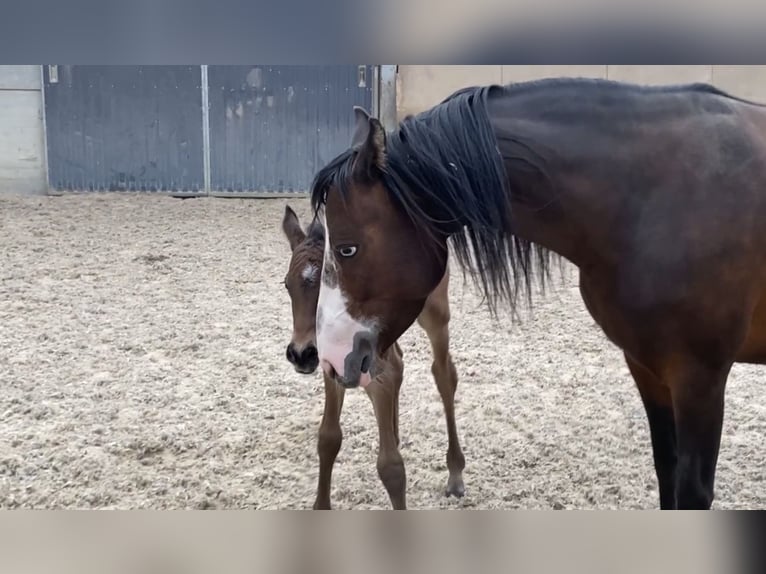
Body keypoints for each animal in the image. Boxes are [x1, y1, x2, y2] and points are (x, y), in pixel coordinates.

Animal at [280, 204, 465, 509]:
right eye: (287, 285)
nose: (300, 354)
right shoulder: (332, 365)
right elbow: (328, 438)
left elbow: (391, 467)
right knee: (399, 363)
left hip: (435, 313)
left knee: (444, 374)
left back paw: (455, 472)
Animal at [309, 77, 766, 510]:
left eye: (348, 248)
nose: (329, 358)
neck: (653, 196)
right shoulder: (646, 366)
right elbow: (666, 470)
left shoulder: (700, 377)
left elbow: (691, 492)